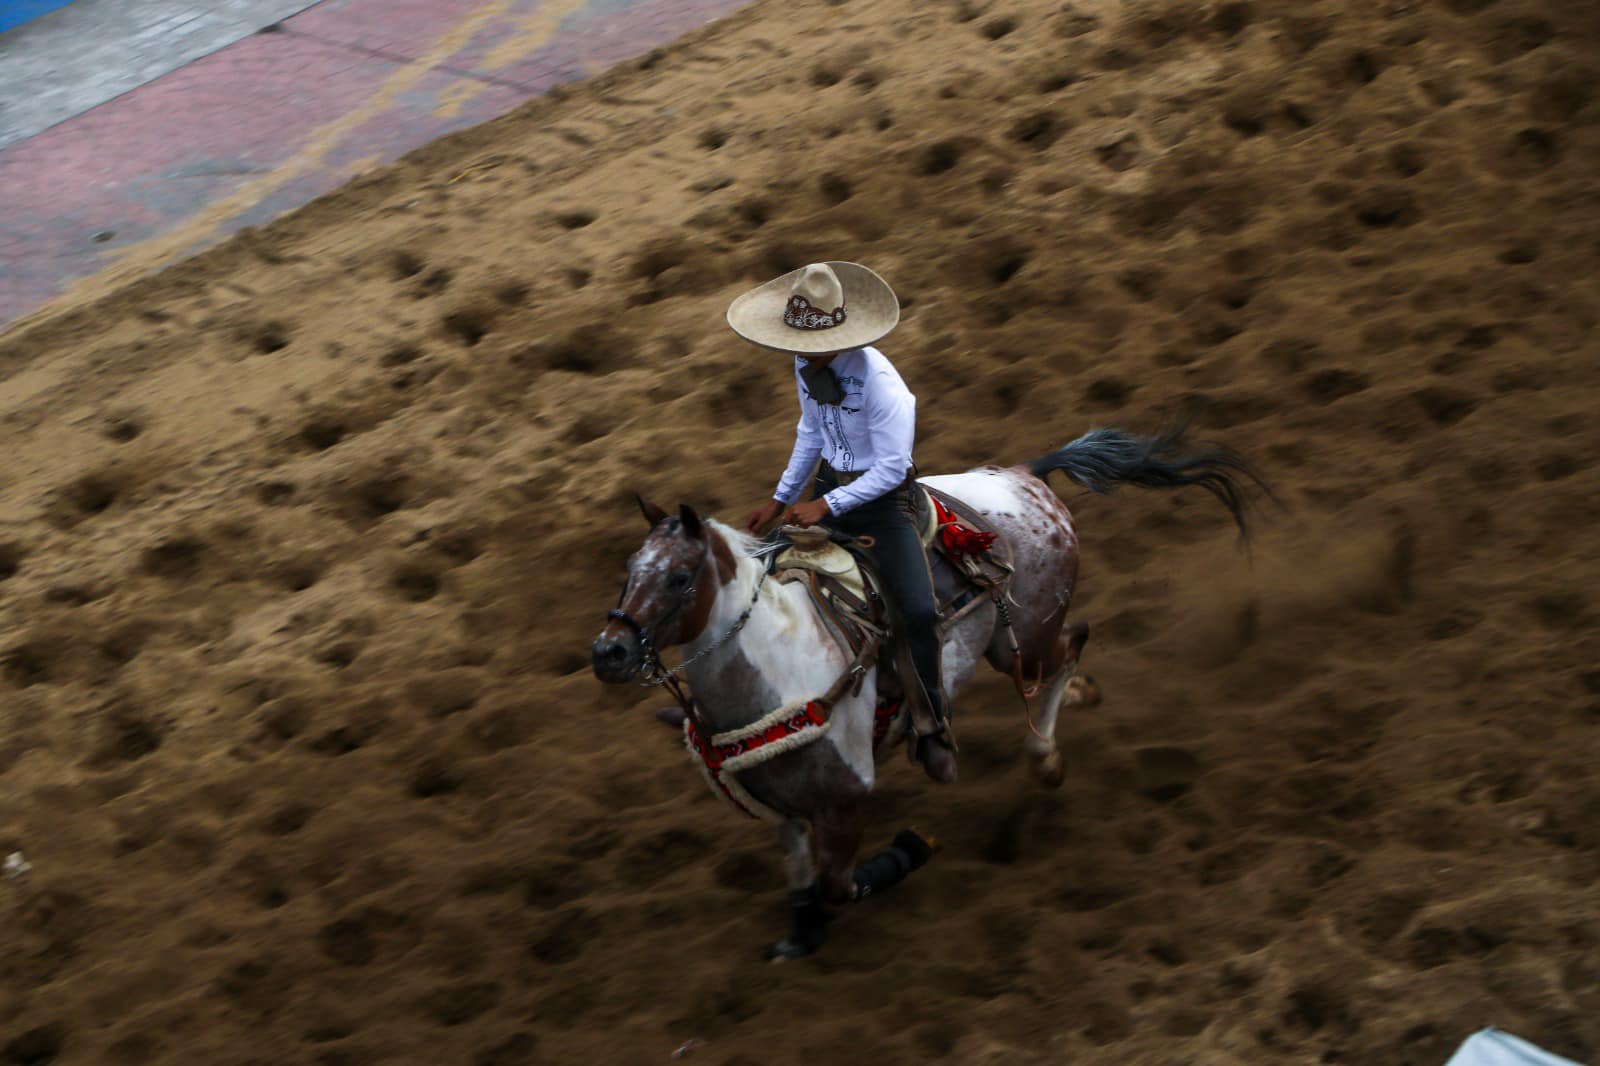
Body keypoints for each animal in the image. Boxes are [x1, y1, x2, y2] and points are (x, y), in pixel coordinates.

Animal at [588, 422, 1260, 953]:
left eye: (680, 577)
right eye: (629, 570)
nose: (609, 652)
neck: (777, 671)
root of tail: (1029, 476)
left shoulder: (846, 802)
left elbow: (840, 882)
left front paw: (912, 848)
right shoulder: (780, 802)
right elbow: (802, 876)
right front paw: (801, 935)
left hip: (1028, 638)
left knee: (1074, 643)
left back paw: (1047, 755)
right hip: (1012, 646)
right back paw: (1077, 700)